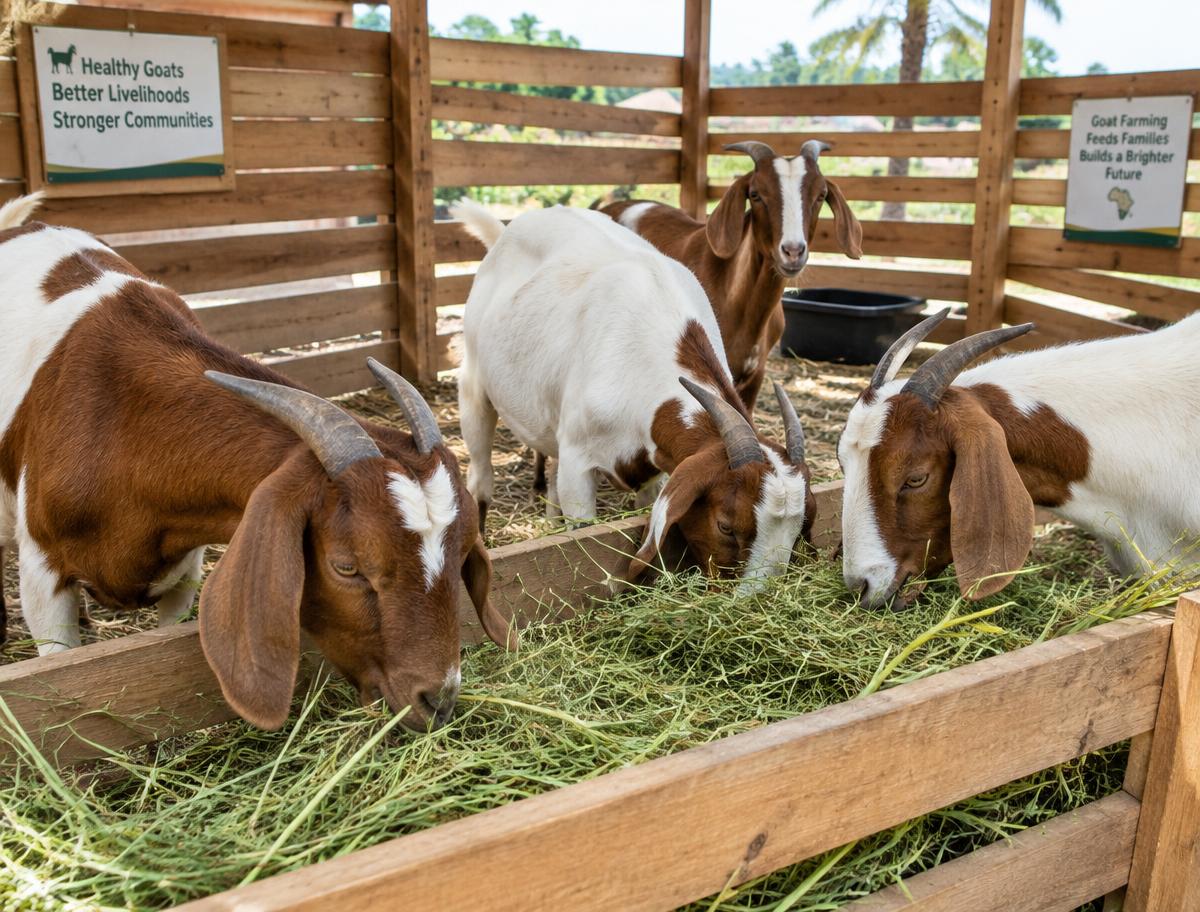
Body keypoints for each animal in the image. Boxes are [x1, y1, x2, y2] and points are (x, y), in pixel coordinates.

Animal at [0, 196, 515, 731]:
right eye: (347, 567)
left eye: (462, 554)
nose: (438, 700)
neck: (118, 421)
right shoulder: (41, 575)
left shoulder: (184, 566)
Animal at [452, 200, 814, 590]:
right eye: (726, 526)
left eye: (798, 531)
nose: (755, 598)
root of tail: (505, 232)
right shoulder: (579, 465)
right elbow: (582, 533)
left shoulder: (658, 468)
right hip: (474, 386)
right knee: (480, 478)